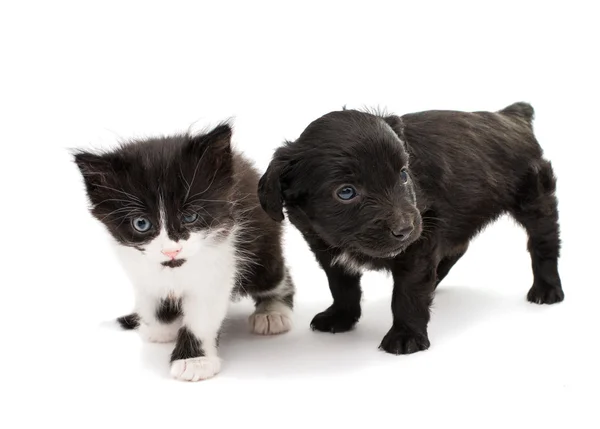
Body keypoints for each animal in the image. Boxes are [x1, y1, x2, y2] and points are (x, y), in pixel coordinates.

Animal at [74, 122, 294, 380]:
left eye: (190, 217)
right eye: (141, 224)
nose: (172, 250)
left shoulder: (221, 259)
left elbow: (201, 316)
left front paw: (194, 360)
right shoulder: (139, 265)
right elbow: (154, 301)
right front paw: (161, 327)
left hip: (262, 247)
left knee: (276, 277)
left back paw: (272, 312)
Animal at [258, 103, 564, 354]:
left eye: (404, 174)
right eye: (346, 192)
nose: (404, 229)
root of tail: (510, 115)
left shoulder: (421, 240)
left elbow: (408, 291)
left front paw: (406, 335)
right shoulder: (326, 249)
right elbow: (342, 286)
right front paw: (341, 317)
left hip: (535, 201)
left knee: (544, 243)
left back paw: (547, 289)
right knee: (457, 249)